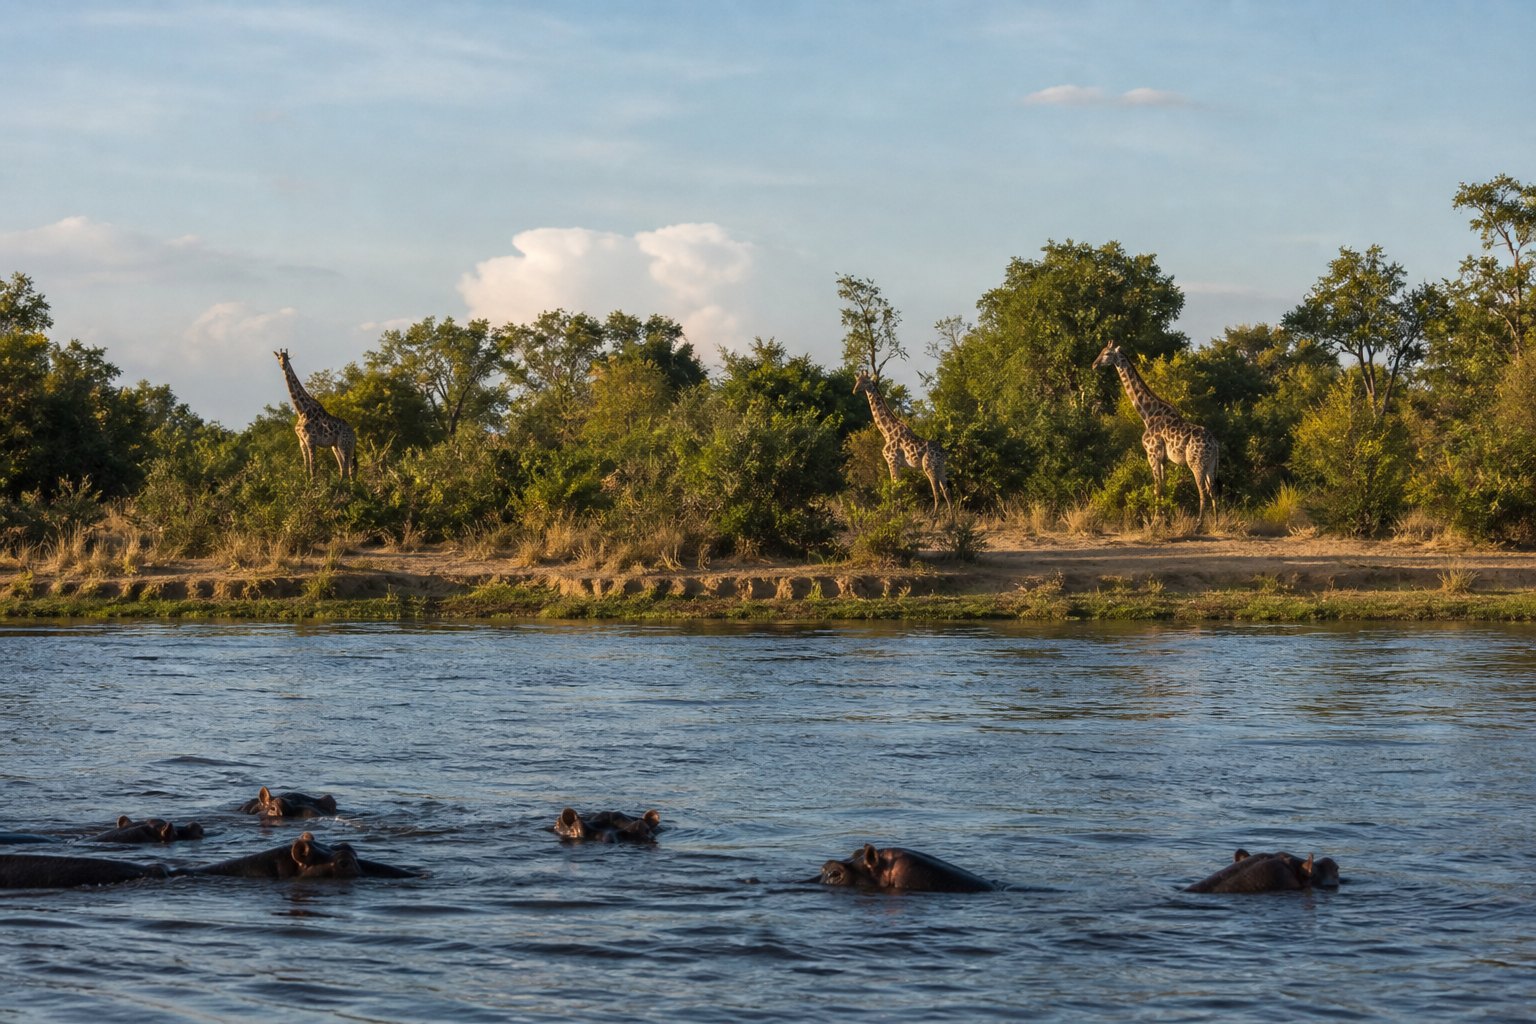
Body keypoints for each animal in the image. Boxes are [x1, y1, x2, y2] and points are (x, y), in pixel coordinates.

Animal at [274, 349, 356, 481]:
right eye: (279, 357)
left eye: (287, 358)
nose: (283, 365)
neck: (301, 410)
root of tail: (354, 435)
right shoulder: (302, 441)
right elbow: (306, 467)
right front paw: (307, 483)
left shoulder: (311, 440)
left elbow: (314, 468)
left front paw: (313, 485)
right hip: (337, 446)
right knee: (346, 469)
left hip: (344, 445)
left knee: (347, 470)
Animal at [853, 370, 953, 515]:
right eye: (857, 381)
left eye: (865, 381)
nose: (854, 390)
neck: (887, 431)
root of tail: (944, 453)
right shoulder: (898, 464)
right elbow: (898, 488)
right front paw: (899, 512)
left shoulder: (892, 461)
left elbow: (895, 489)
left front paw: (896, 514)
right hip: (941, 467)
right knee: (947, 491)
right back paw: (952, 520)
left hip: (929, 466)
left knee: (937, 492)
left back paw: (934, 518)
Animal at [1092, 340, 1218, 520]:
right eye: (1101, 351)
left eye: (1107, 353)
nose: (1094, 364)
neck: (1148, 415)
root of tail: (1215, 444)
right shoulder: (1163, 459)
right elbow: (1162, 488)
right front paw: (1164, 519)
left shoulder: (1153, 454)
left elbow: (1156, 489)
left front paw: (1155, 522)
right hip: (1211, 463)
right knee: (1213, 490)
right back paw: (1216, 522)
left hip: (1196, 463)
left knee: (1203, 491)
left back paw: (1199, 523)